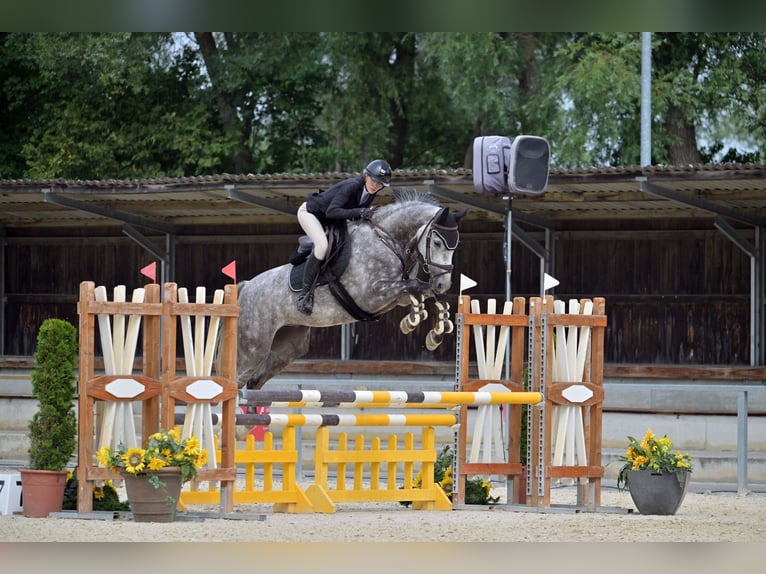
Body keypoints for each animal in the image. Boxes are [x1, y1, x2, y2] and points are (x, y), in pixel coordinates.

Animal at [237, 190, 464, 392]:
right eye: (437, 242)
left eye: (456, 245)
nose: (444, 283)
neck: (389, 240)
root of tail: (247, 286)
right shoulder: (372, 293)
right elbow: (415, 286)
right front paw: (413, 320)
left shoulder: (396, 296)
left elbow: (428, 293)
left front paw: (434, 332)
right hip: (255, 347)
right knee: (237, 380)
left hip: (288, 347)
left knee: (254, 382)